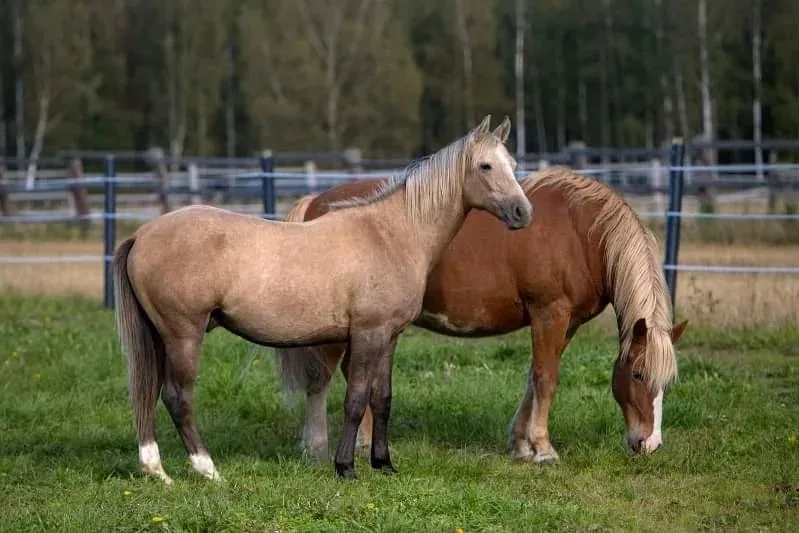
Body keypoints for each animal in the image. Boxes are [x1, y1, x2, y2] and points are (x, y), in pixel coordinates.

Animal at [112, 115, 532, 483]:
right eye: (485, 166)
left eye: (512, 164)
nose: (522, 213)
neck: (391, 234)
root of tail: (143, 234)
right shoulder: (367, 334)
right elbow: (356, 399)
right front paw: (346, 467)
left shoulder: (389, 337)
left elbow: (383, 398)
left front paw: (384, 464)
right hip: (184, 334)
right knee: (177, 397)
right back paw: (207, 470)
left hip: (159, 336)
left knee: (147, 392)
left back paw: (156, 471)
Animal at [276, 166, 688, 464]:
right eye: (638, 374)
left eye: (667, 384)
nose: (649, 443)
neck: (581, 232)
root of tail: (315, 202)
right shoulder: (550, 313)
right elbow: (546, 379)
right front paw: (543, 448)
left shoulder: (565, 323)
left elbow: (533, 377)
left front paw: (521, 444)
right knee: (322, 377)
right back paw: (316, 447)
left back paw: (362, 442)